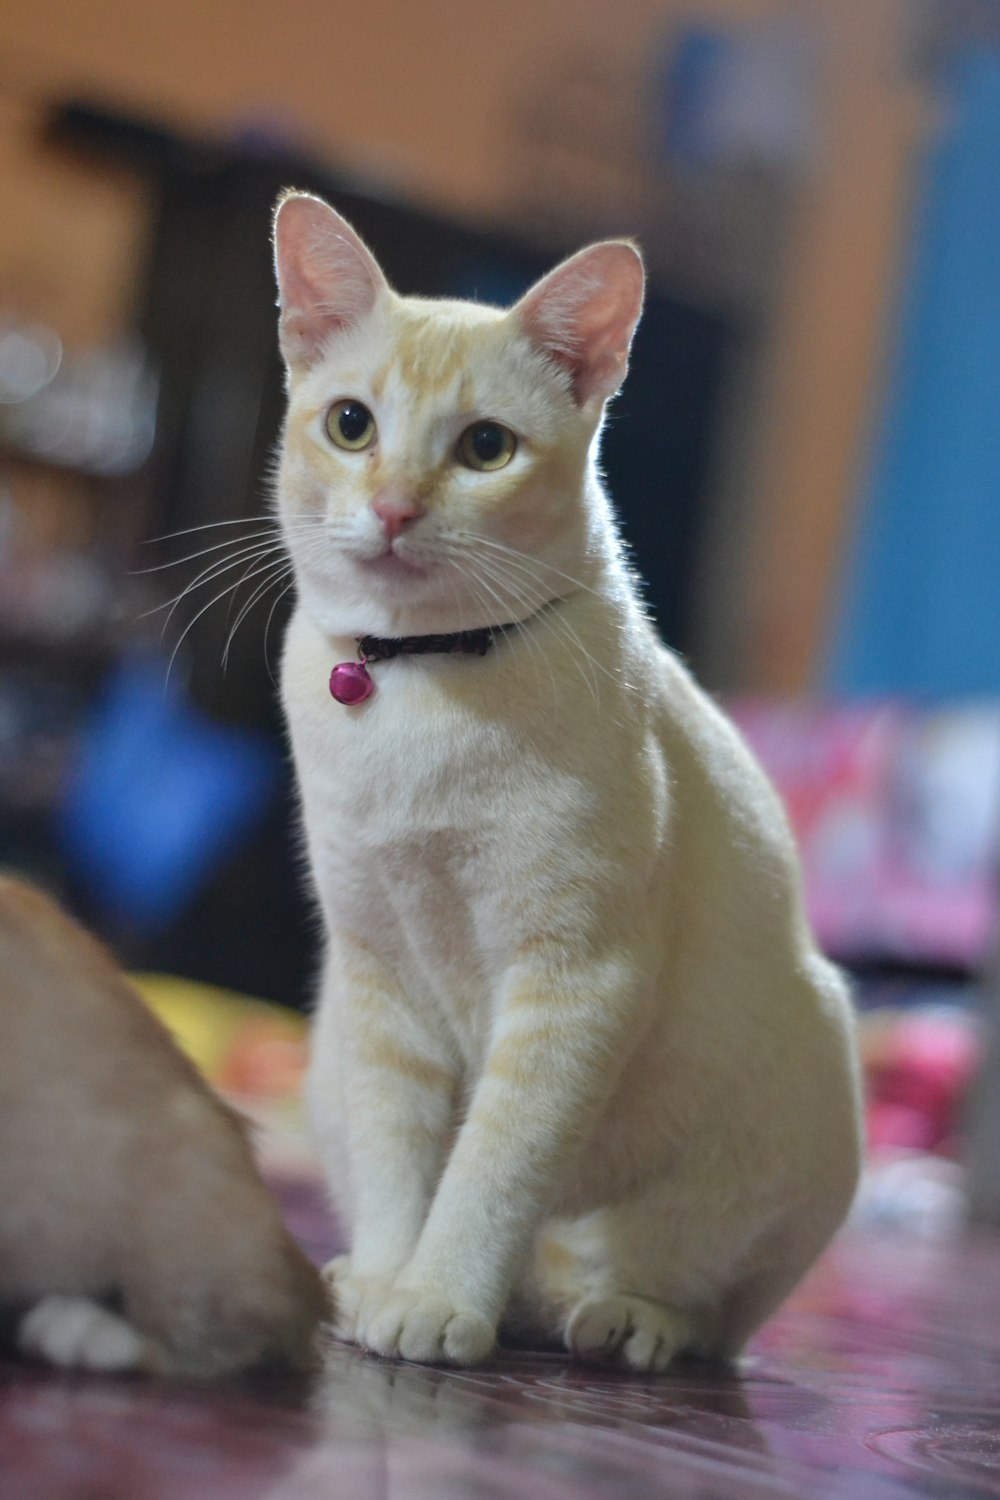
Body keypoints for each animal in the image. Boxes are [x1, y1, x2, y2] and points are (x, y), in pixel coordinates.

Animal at [271, 193, 863, 1374]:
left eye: (484, 448)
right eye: (352, 425)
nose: (395, 510)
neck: (419, 681)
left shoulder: (571, 983)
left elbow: (491, 1169)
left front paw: (437, 1302)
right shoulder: (379, 976)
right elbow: (404, 1163)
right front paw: (392, 1288)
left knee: (710, 1315)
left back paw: (622, 1321)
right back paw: (369, 1279)